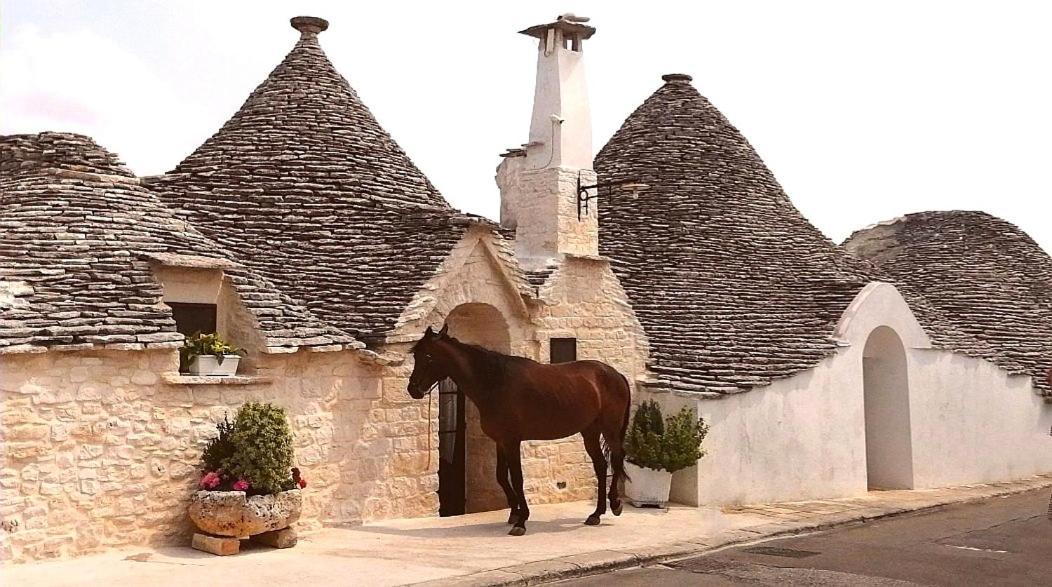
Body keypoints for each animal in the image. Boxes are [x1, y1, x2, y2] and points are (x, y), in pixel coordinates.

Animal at [406, 326, 626, 538]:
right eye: (416, 355)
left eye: (428, 356)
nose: (412, 389)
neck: (495, 384)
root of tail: (616, 375)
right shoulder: (500, 441)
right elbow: (501, 476)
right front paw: (515, 512)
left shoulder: (512, 441)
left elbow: (518, 478)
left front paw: (522, 521)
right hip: (590, 431)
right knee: (601, 466)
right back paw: (596, 513)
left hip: (610, 429)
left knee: (616, 459)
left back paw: (615, 504)